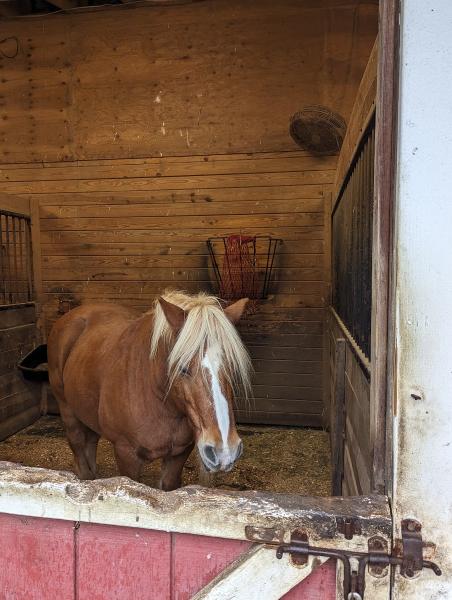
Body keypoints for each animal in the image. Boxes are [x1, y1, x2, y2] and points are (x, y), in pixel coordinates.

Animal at [47, 292, 252, 492]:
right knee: (79, 450)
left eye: (232, 367)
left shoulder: (179, 453)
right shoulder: (126, 454)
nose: (225, 451)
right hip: (67, 411)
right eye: (183, 368)